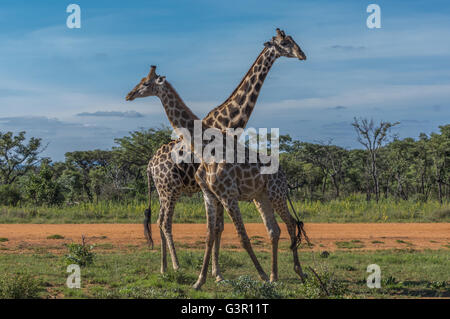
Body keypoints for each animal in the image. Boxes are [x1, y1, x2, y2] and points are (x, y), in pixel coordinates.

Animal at [141, 29, 306, 280]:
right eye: (285, 43)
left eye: (292, 40)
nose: (302, 54)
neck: (231, 121)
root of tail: (150, 165)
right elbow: (218, 227)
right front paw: (215, 273)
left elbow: (218, 228)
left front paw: (214, 272)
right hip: (169, 189)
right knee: (165, 222)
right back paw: (175, 266)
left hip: (163, 191)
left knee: (159, 221)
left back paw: (164, 268)